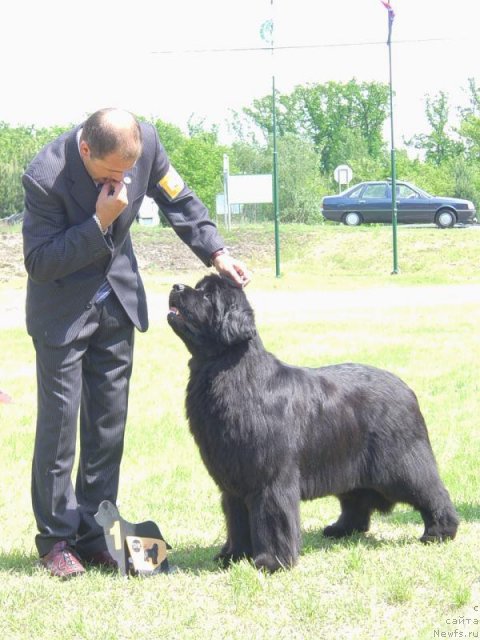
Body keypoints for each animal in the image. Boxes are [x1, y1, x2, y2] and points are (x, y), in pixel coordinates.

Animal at [168, 272, 458, 572]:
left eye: (207, 295)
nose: (175, 286)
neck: (230, 372)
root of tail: (406, 388)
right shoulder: (233, 481)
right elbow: (236, 520)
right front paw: (233, 556)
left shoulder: (270, 479)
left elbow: (272, 519)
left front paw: (271, 562)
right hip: (348, 461)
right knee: (355, 499)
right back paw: (342, 529)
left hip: (401, 463)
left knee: (431, 490)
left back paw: (439, 531)